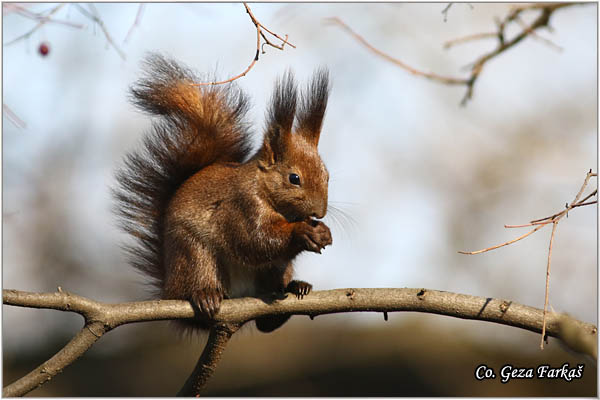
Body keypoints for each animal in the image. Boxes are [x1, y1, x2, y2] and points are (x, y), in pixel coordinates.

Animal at [115, 54, 332, 332]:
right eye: (294, 178)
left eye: (327, 176)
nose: (320, 212)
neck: (263, 189)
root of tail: (168, 287)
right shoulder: (240, 206)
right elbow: (254, 240)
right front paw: (302, 232)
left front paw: (322, 232)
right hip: (194, 255)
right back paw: (204, 295)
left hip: (277, 270)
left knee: (267, 320)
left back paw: (295, 287)